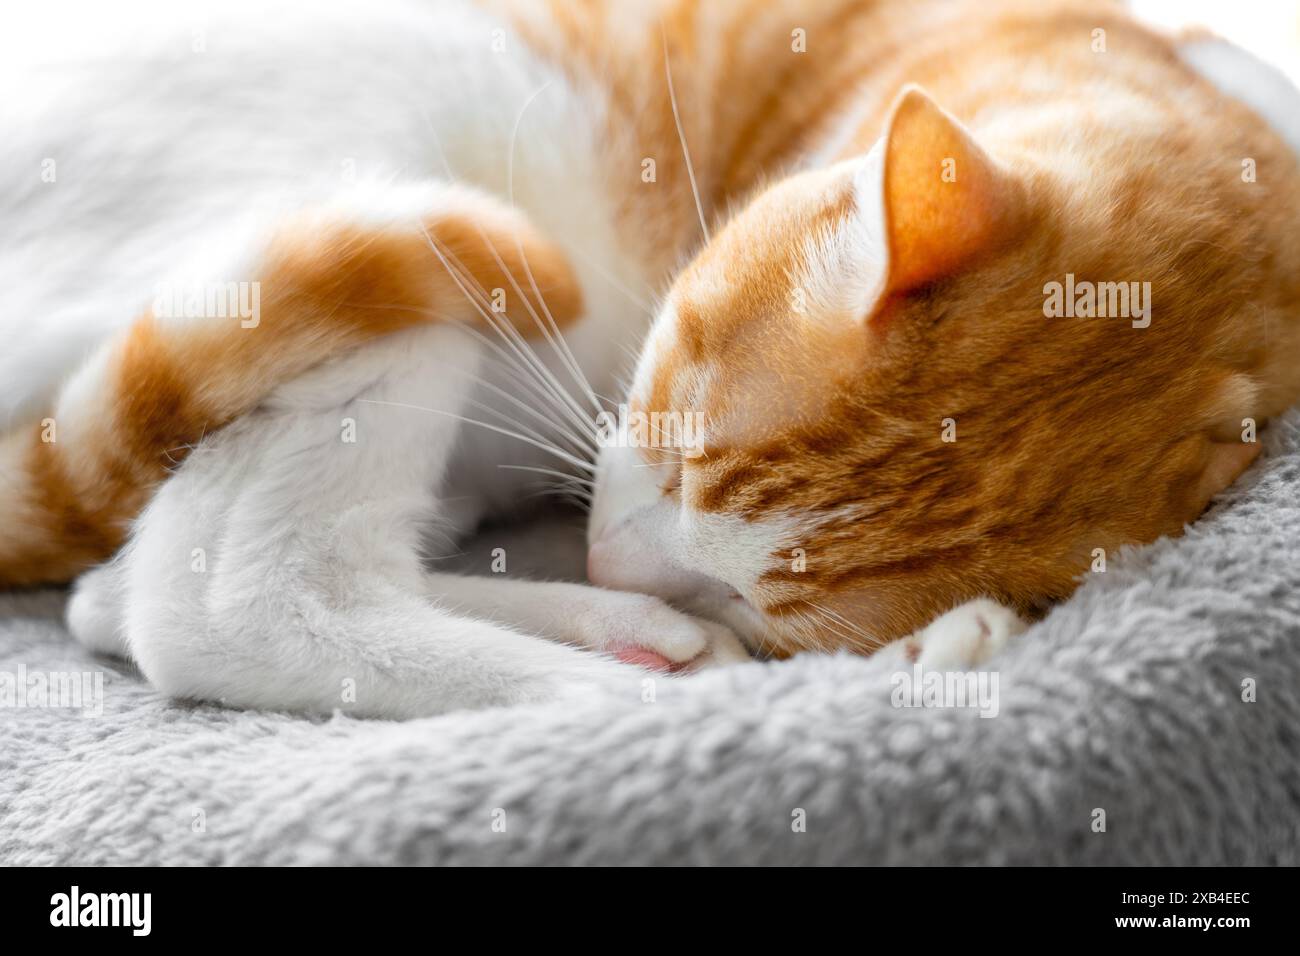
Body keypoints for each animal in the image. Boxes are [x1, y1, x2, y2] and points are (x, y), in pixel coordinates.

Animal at [2, 1, 1300, 717]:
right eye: (669, 429)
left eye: (749, 593)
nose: (611, 556)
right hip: (404, 193)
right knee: (216, 601)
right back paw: (625, 681)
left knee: (120, 596)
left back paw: (630, 636)